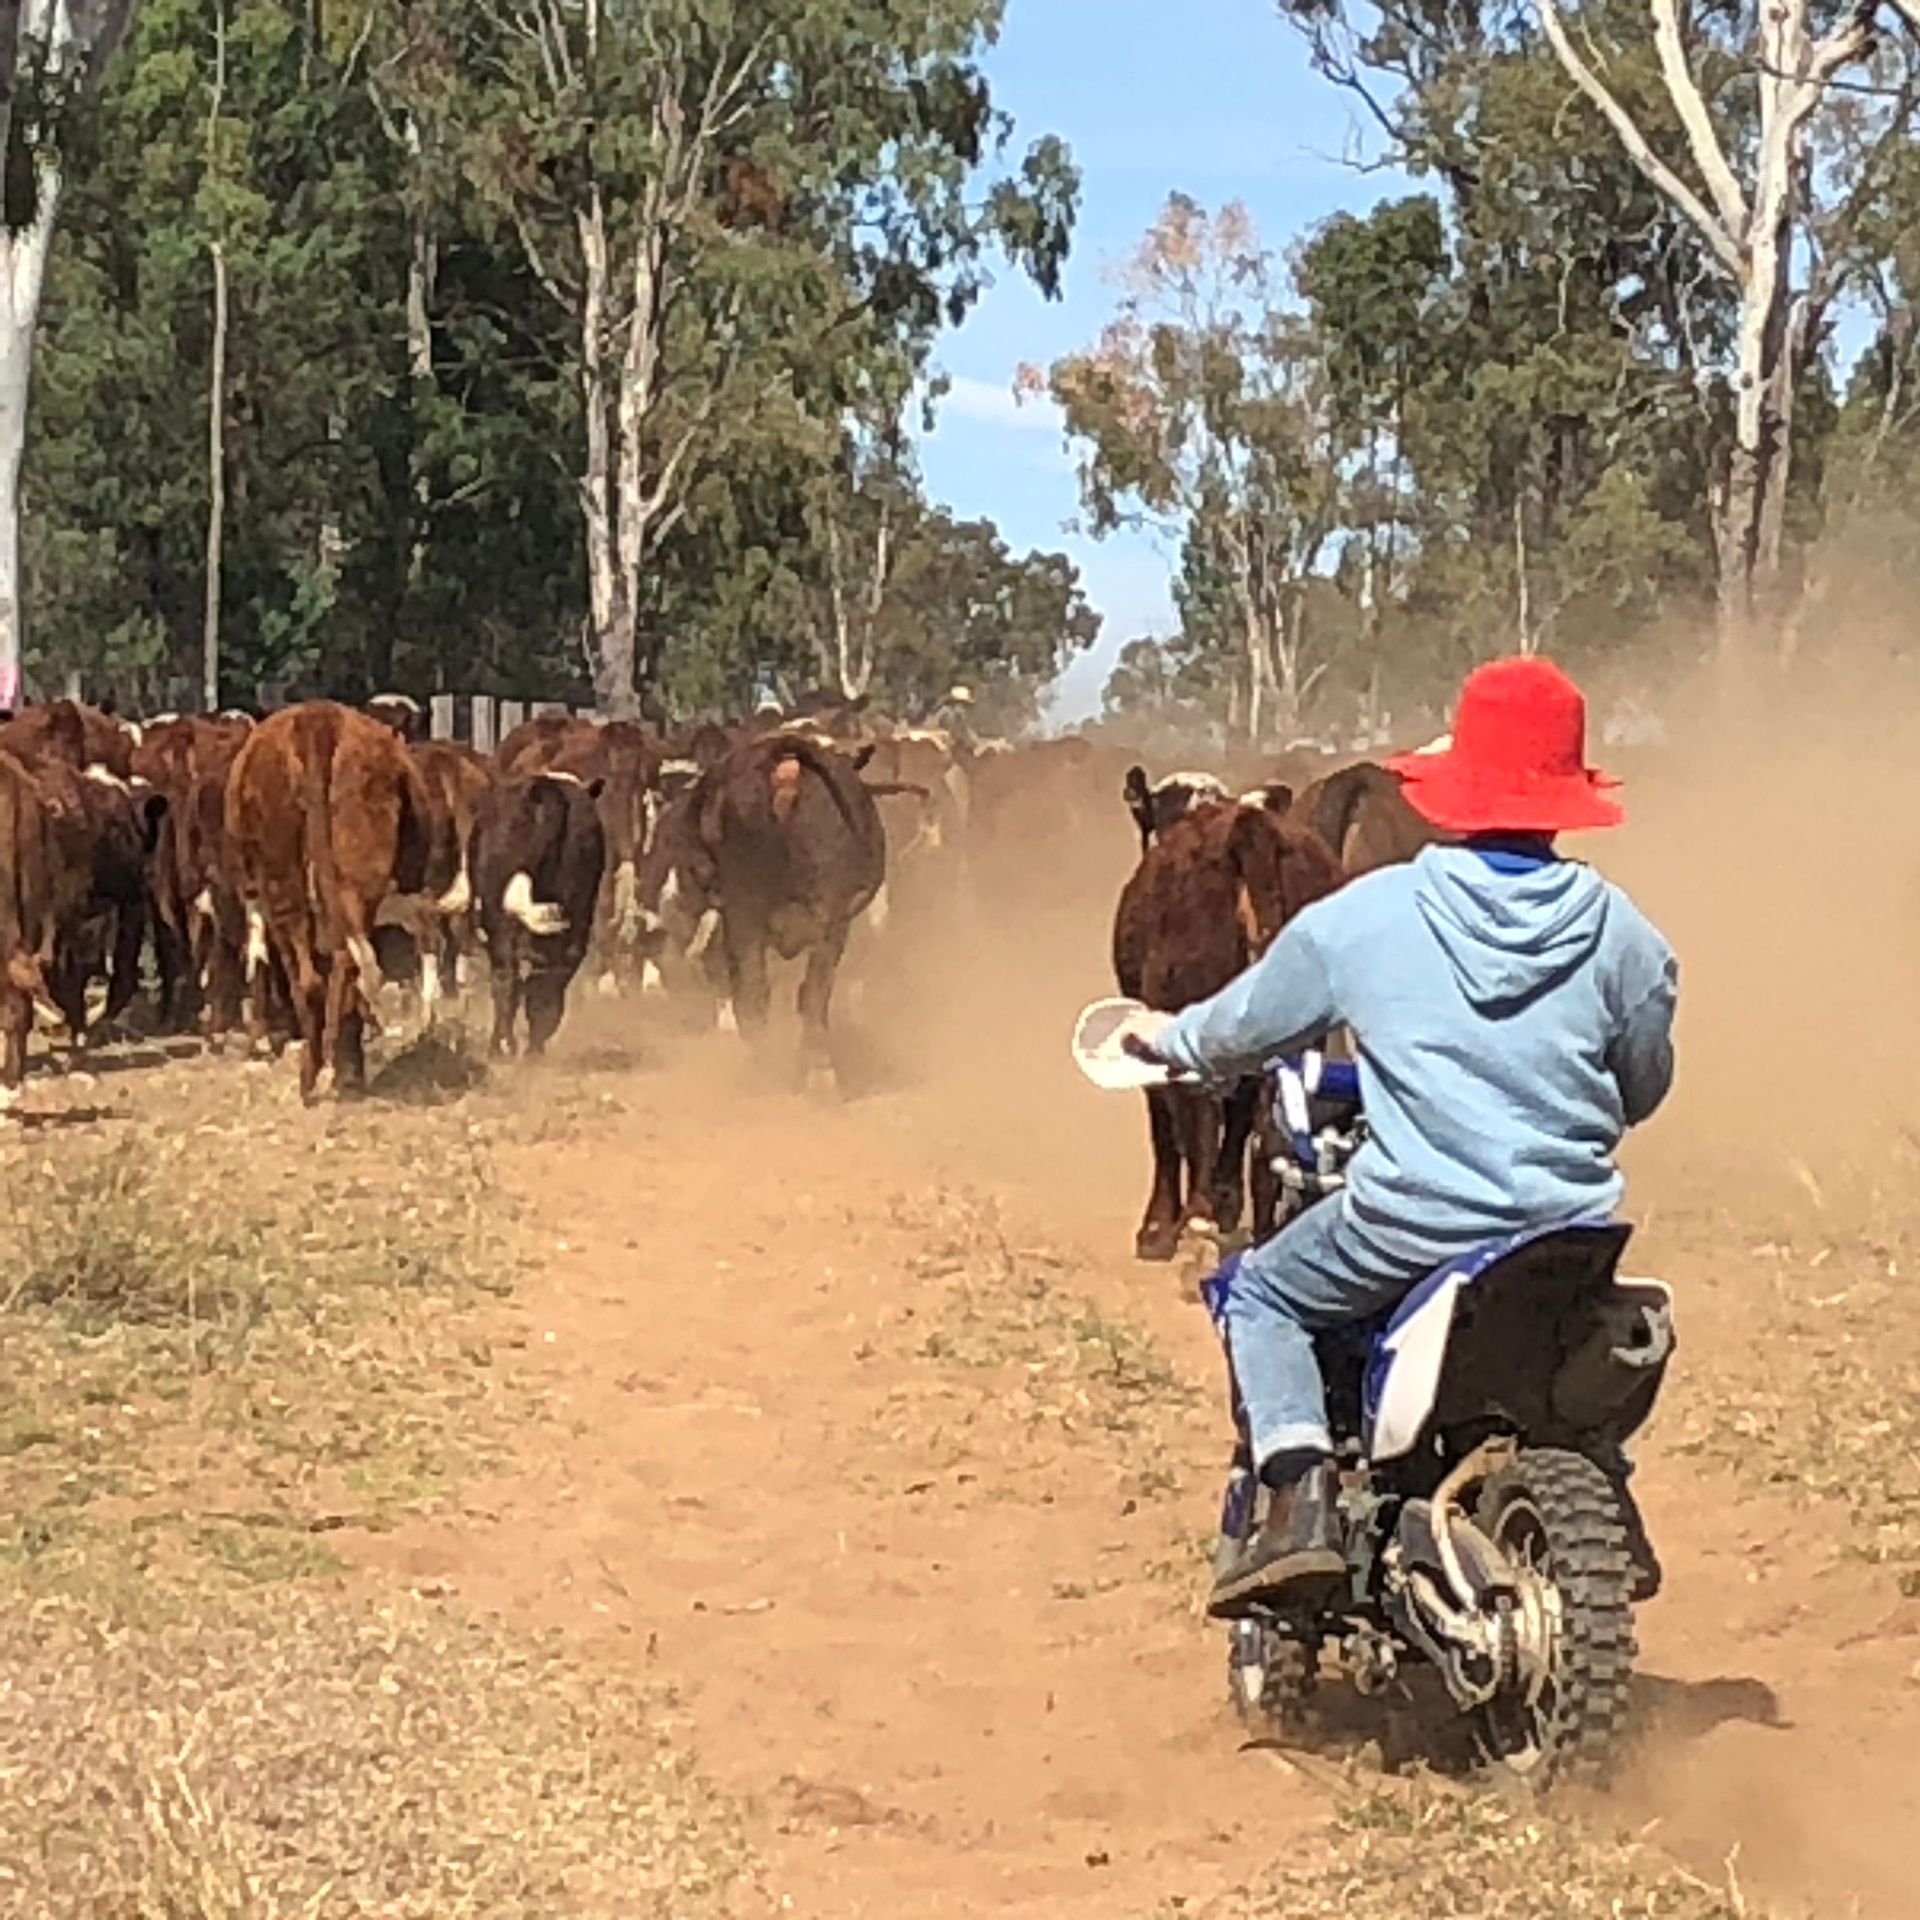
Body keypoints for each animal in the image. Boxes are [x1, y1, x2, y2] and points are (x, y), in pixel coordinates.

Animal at [225, 702, 432, 1101]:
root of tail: (317, 720)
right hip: (358, 877)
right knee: (346, 965)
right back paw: (344, 1071)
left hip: (280, 882)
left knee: (306, 976)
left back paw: (311, 1073)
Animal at [468, 772, 607, 1056]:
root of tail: (547, 789)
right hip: (574, 917)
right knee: (542, 984)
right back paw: (525, 1049)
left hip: (499, 919)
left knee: (510, 981)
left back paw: (506, 1048)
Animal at [1111, 798, 1345, 1260]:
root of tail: (1248, 829)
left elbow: (1167, 1128)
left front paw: (1156, 1230)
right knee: (1270, 1134)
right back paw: (1261, 1234)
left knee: (1198, 1119)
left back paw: (1195, 1221)